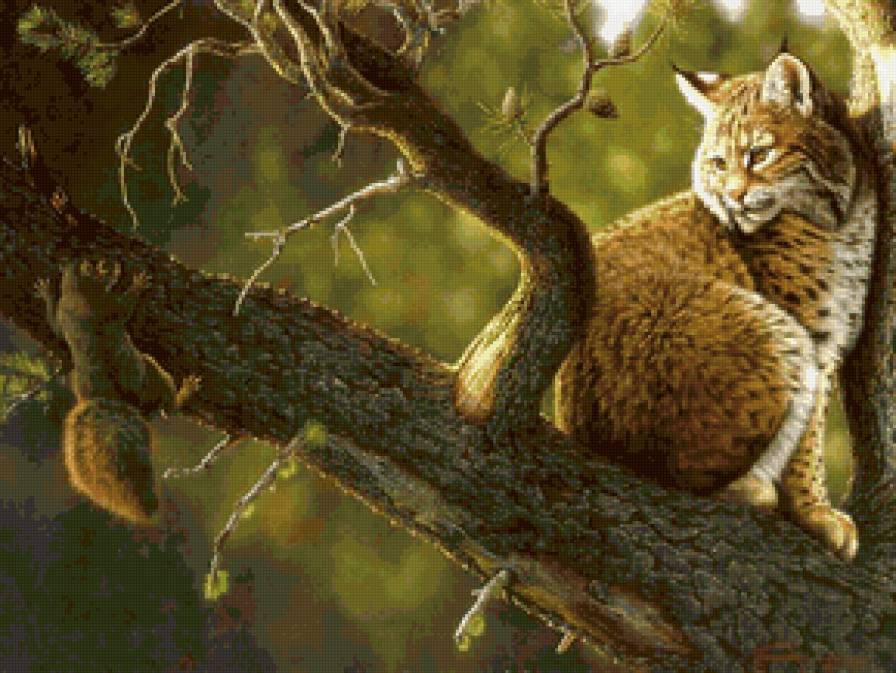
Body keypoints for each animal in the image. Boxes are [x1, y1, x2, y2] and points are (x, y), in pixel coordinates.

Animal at [35, 258, 200, 524]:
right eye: (96, 266)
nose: (111, 265)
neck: (77, 293)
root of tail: (110, 399)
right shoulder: (108, 307)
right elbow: (125, 307)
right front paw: (138, 283)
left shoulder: (64, 314)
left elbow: (55, 326)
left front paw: (46, 293)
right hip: (151, 371)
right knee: (168, 406)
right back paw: (186, 390)